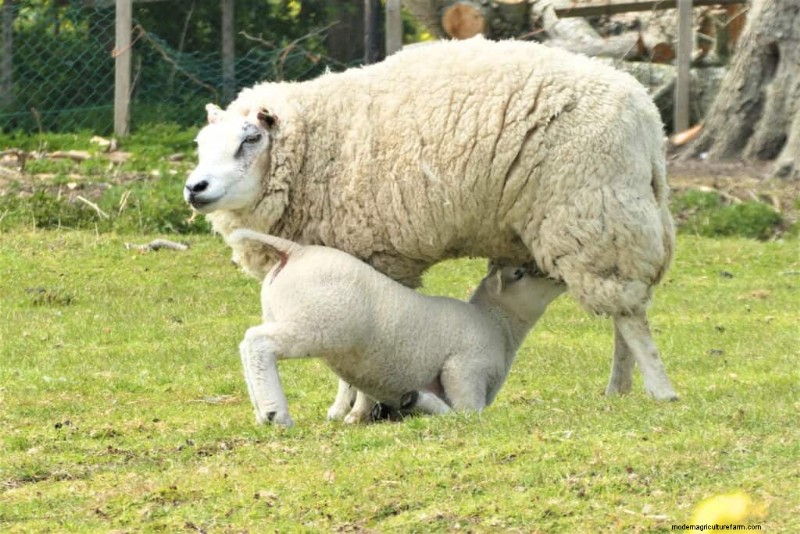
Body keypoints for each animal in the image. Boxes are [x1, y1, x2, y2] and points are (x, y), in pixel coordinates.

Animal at [184, 36, 679, 406]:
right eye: (201, 144)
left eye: (250, 140)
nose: (195, 188)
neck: (314, 150)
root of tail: (647, 117)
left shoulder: (376, 255)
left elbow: (362, 343)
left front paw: (354, 408)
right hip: (621, 221)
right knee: (626, 311)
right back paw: (619, 389)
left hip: (593, 213)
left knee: (629, 317)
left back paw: (659, 389)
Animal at [229, 228, 566, 426]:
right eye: (519, 273)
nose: (558, 278)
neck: (498, 324)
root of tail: (296, 252)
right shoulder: (463, 370)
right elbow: (466, 413)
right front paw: (422, 403)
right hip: (315, 325)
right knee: (258, 343)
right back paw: (275, 413)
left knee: (248, 344)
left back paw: (262, 411)